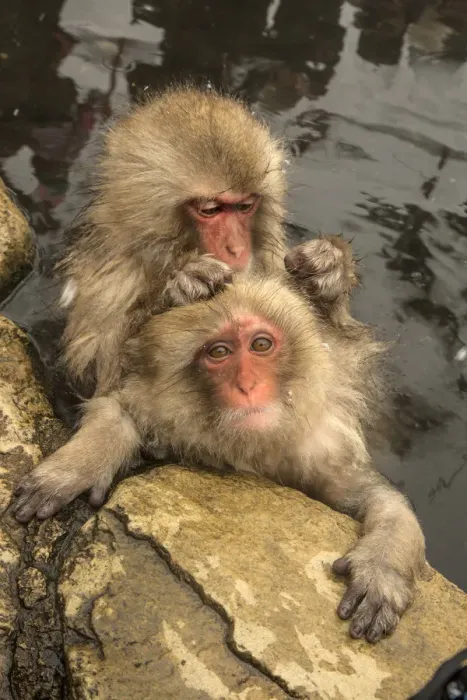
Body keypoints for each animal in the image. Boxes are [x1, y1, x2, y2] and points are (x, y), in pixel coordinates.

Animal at [13, 273, 426, 644]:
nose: (247, 385)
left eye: (261, 344)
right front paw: (78, 466)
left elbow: (380, 498)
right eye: (219, 353)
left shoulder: (316, 452)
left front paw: (381, 570)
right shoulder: (164, 411)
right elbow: (118, 410)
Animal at [58, 84, 288, 398]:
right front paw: (182, 283)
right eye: (210, 210)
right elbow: (93, 374)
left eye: (244, 207)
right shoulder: (111, 279)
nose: (238, 249)